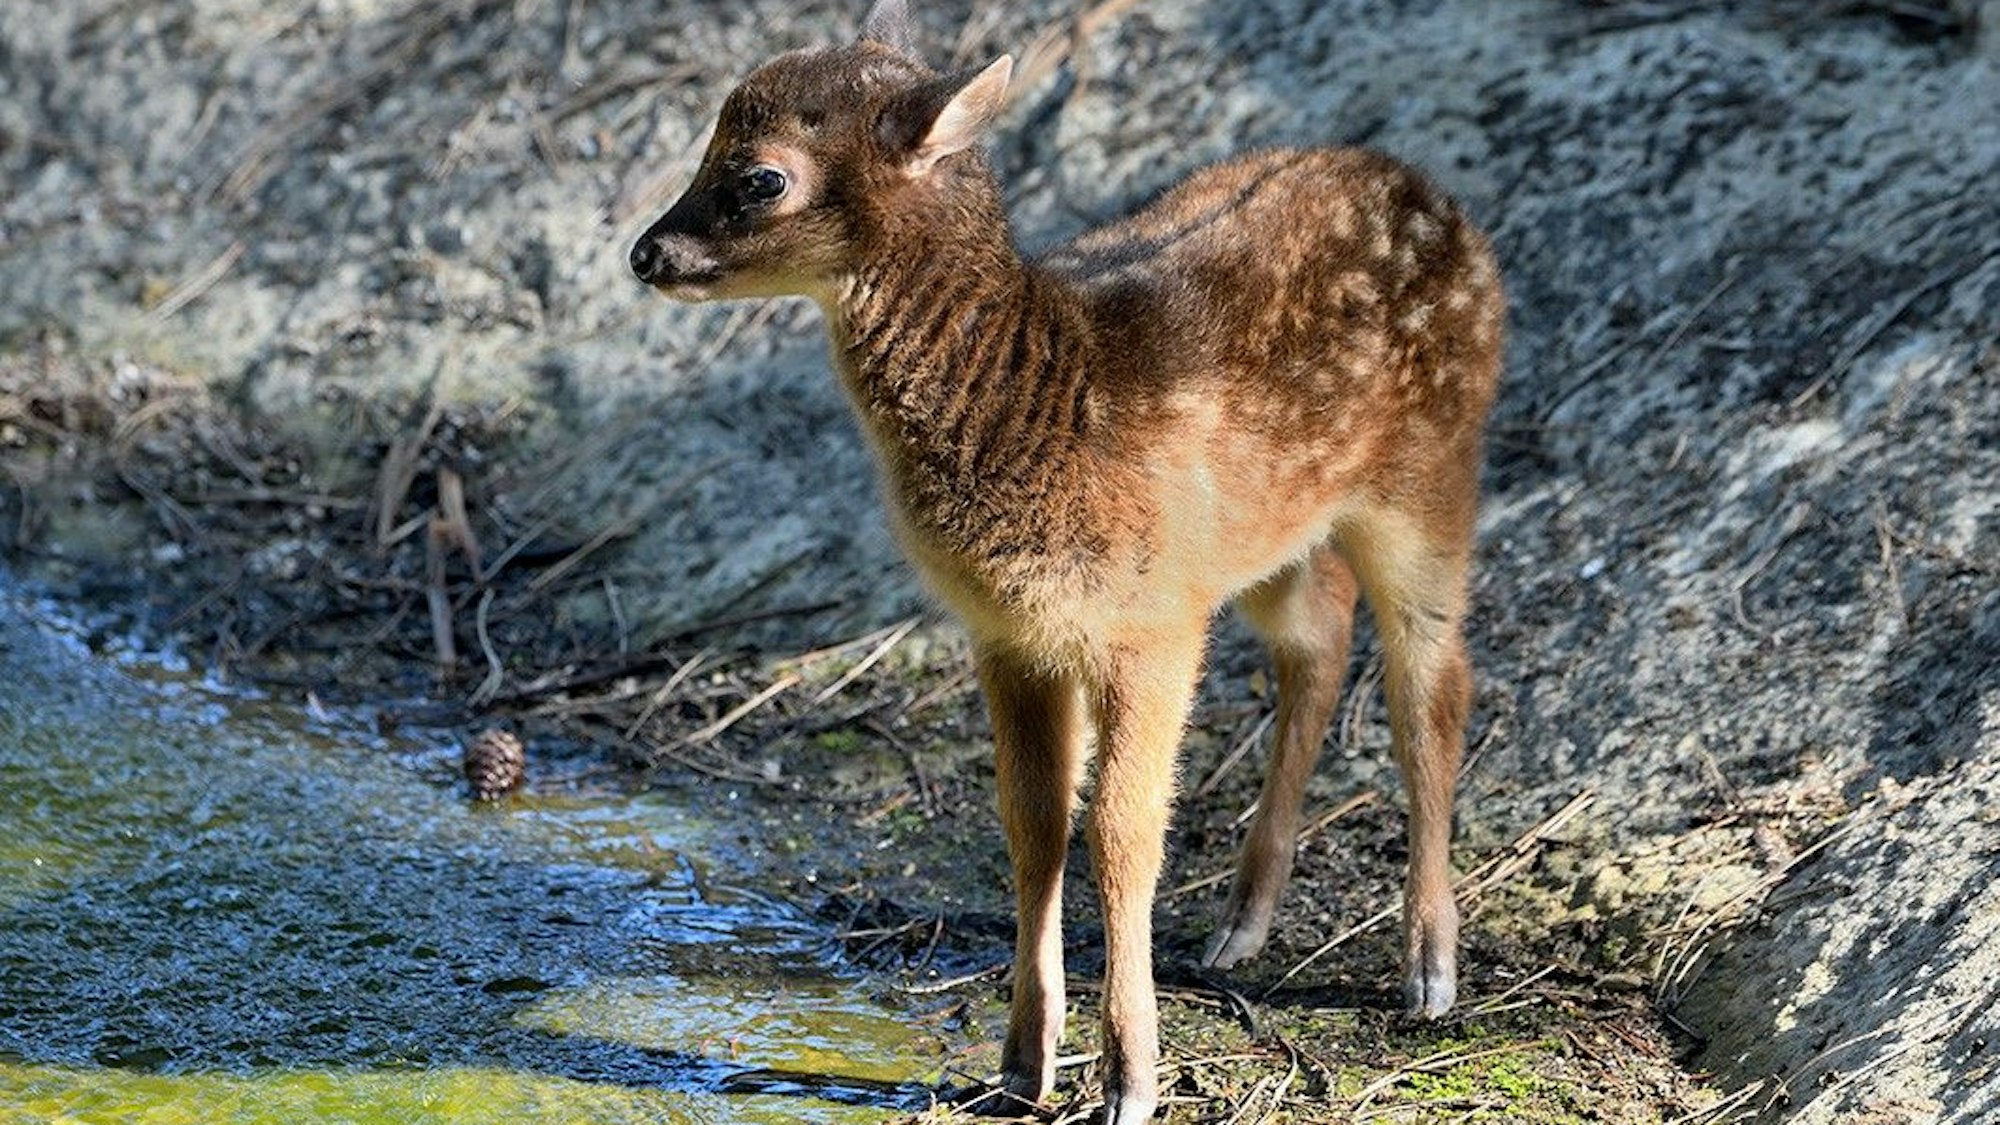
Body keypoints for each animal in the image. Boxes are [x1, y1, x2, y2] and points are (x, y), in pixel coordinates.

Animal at [629, 2, 1503, 1119]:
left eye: (758, 177)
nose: (646, 253)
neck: (1045, 393)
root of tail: (1442, 205)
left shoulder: (1152, 622)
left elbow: (1122, 834)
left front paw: (1130, 1078)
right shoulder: (1008, 629)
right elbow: (1032, 821)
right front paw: (1021, 1062)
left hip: (1428, 475)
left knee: (1430, 681)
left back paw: (1428, 970)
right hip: (1269, 539)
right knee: (1316, 641)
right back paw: (1241, 924)